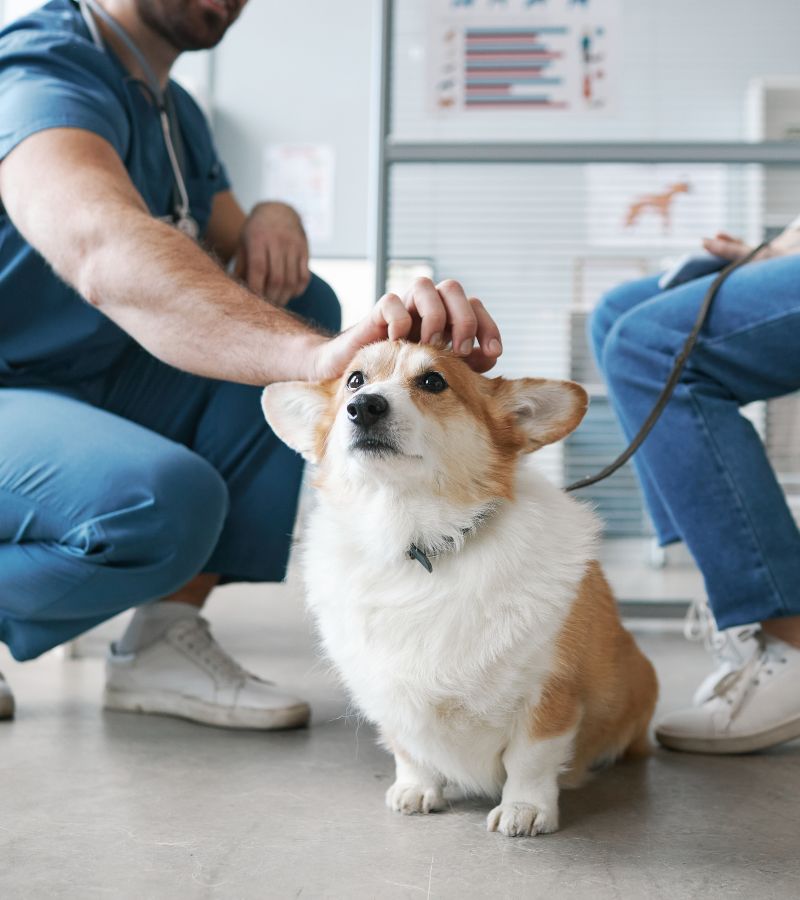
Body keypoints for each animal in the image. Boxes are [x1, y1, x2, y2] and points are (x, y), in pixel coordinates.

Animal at [262, 340, 656, 836]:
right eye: (354, 380)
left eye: (434, 381)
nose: (363, 406)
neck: (416, 541)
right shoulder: (389, 694)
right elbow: (409, 750)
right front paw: (416, 789)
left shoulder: (549, 692)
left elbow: (530, 759)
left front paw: (524, 809)